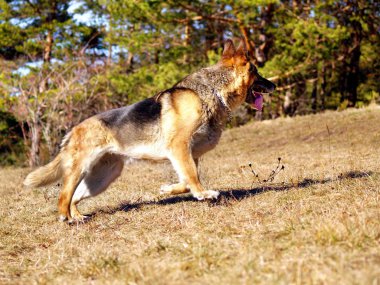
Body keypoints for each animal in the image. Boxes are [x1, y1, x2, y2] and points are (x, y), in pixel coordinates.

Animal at [24, 38, 276, 222]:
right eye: (257, 72)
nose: (274, 85)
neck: (213, 91)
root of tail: (74, 129)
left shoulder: (187, 154)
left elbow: (185, 179)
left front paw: (168, 189)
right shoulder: (179, 148)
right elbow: (192, 177)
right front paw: (203, 193)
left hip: (103, 178)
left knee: (74, 197)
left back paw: (77, 216)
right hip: (80, 169)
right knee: (63, 196)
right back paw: (66, 219)